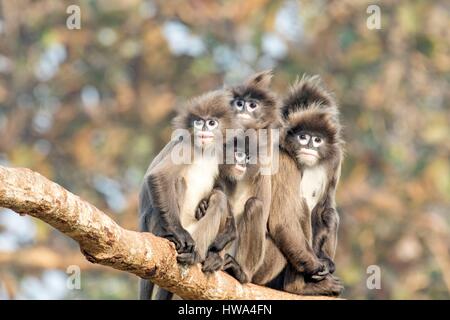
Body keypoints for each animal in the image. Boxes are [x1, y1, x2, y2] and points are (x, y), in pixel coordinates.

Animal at [138, 89, 243, 298]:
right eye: (199, 122)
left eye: (212, 123)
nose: (204, 129)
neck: (203, 151)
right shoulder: (185, 146)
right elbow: (158, 177)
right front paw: (179, 234)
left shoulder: (220, 153)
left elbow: (219, 188)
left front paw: (229, 231)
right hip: (155, 223)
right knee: (178, 181)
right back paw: (174, 239)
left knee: (219, 200)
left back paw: (205, 257)